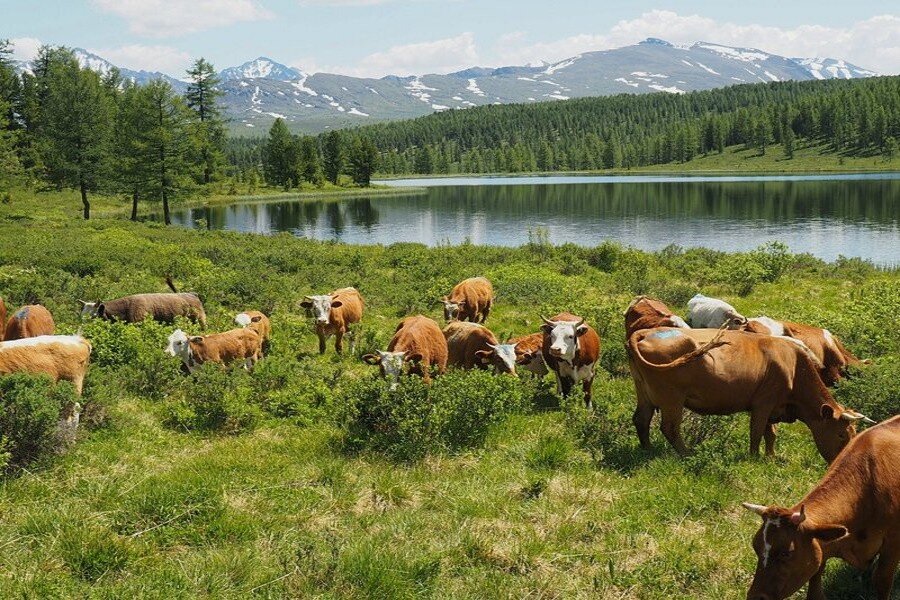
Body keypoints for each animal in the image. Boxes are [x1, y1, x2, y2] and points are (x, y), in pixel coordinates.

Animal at [740, 414, 900, 600]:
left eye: (786, 553)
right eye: (755, 546)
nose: (755, 596)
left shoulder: (892, 543)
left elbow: (882, 580)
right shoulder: (822, 544)